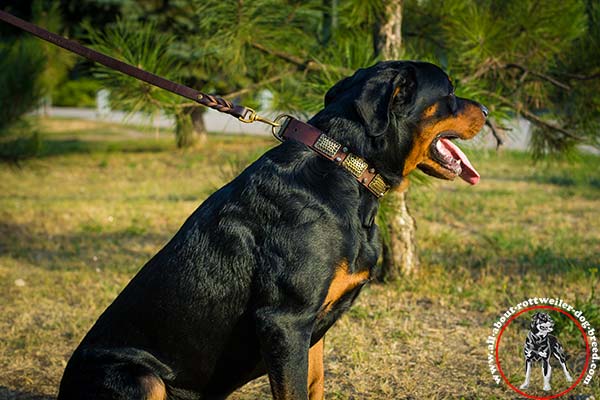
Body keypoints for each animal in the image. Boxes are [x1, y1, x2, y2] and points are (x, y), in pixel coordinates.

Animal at [57, 60, 488, 400]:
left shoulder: (310, 331)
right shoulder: (285, 320)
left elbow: (314, 385)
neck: (346, 164)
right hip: (142, 379)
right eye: (450, 92)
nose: (485, 107)